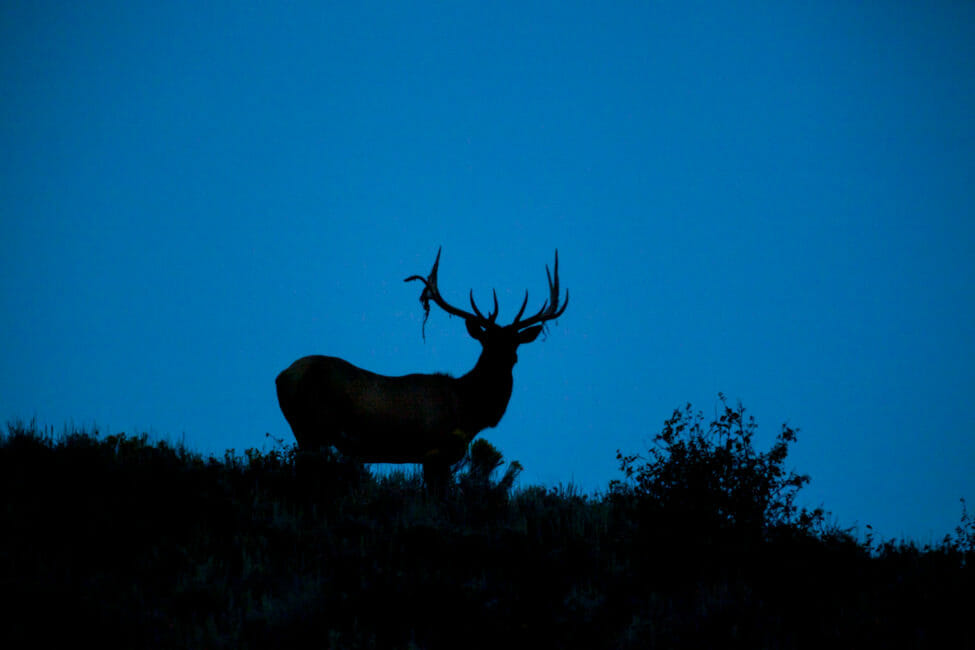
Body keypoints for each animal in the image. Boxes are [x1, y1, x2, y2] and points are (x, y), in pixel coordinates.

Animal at [274, 248, 568, 486]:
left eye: (515, 342)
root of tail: (282, 376)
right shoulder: (434, 452)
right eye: (487, 341)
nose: (507, 358)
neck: (469, 409)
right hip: (312, 426)